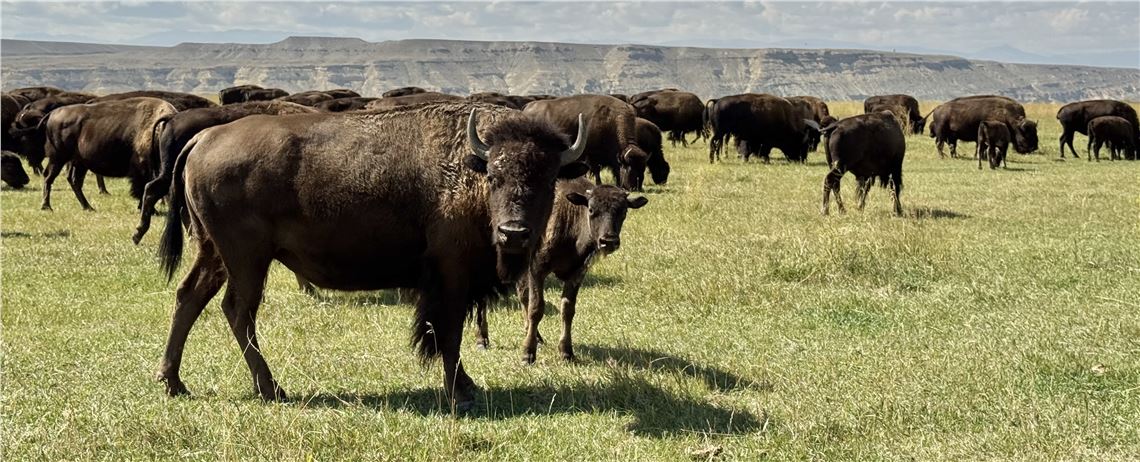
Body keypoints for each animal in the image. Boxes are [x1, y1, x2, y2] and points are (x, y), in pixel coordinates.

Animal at [155, 102, 589, 410]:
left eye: (549, 178)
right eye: (495, 176)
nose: (513, 233)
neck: (469, 166)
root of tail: (204, 138)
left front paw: (467, 387)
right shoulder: (450, 276)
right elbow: (447, 334)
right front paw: (460, 394)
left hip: (213, 252)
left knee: (189, 297)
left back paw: (174, 382)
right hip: (246, 259)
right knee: (237, 309)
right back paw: (272, 389)